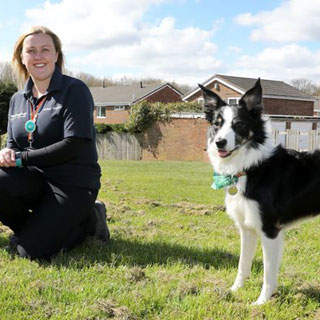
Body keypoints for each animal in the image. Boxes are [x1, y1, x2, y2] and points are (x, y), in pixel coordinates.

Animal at [200, 80, 320, 304]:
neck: (250, 167)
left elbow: (268, 272)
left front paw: (261, 302)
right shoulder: (246, 227)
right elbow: (242, 264)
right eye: (217, 124)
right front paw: (234, 291)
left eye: (239, 124)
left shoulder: (270, 230)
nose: (220, 142)